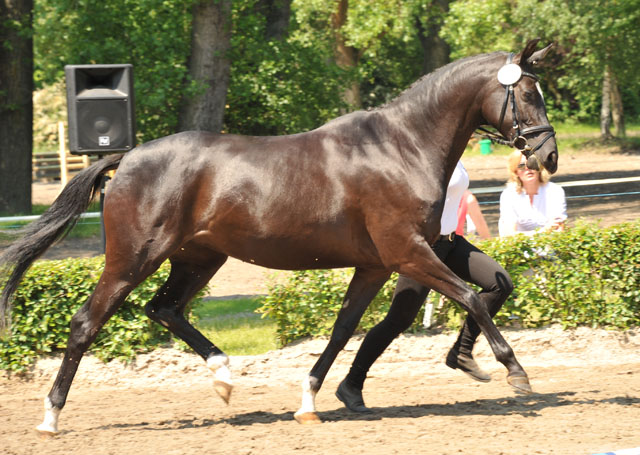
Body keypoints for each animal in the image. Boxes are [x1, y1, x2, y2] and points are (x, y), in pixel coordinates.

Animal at [0, 38, 556, 434]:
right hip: (132, 259)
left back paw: (224, 375)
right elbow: (473, 299)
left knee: (165, 309)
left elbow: (343, 328)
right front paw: (516, 373)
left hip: (198, 258)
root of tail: (127, 156)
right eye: (528, 95)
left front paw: (309, 401)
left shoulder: (377, 265)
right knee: (85, 323)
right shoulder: (410, 254)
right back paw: (50, 417)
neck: (402, 147)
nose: (547, 157)